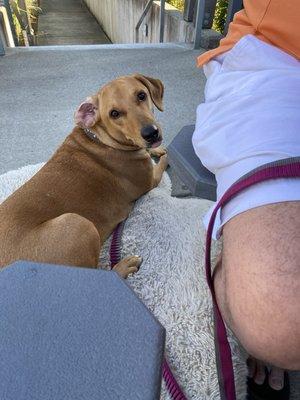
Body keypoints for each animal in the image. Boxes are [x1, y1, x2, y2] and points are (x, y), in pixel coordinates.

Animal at [0, 73, 169, 276]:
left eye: (141, 95)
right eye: (114, 114)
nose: (151, 133)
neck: (100, 138)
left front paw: (157, 149)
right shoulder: (151, 180)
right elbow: (165, 160)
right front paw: (165, 153)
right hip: (77, 223)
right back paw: (123, 267)